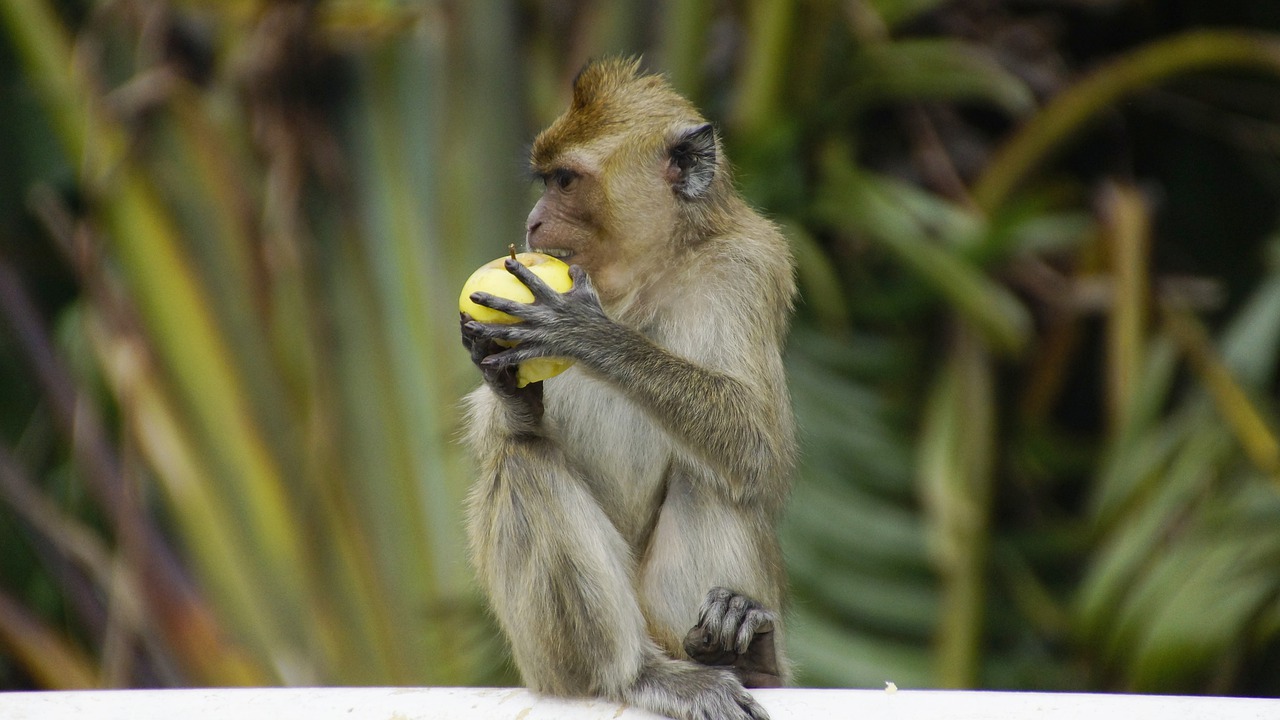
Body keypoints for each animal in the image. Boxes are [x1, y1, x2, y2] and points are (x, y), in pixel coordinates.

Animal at [459, 57, 796, 720]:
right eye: (545, 180)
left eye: (564, 181)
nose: (532, 222)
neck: (641, 274)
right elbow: (497, 440)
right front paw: (504, 380)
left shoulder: (747, 266)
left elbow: (757, 443)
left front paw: (589, 334)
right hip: (548, 662)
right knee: (523, 463)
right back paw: (634, 674)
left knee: (710, 477)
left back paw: (748, 657)